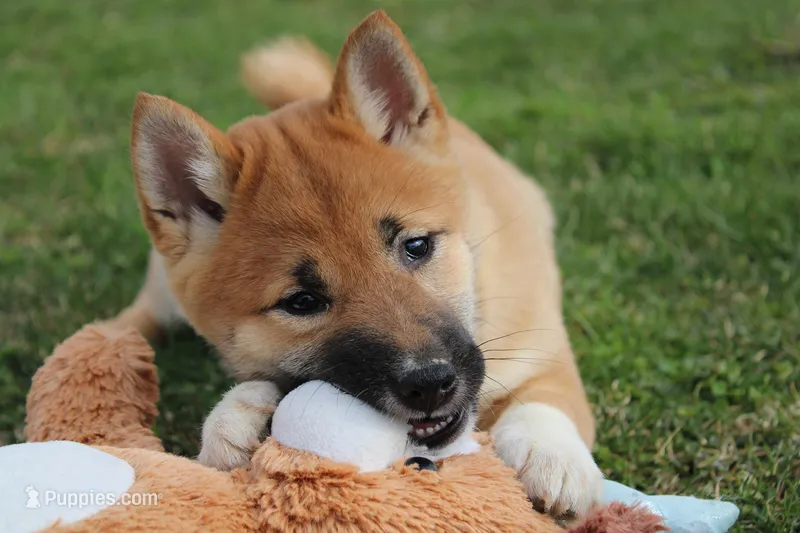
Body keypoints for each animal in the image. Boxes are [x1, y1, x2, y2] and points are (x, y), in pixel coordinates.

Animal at [109, 10, 603, 518]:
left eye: (416, 246)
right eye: (302, 302)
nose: (430, 384)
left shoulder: (541, 344)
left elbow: (545, 401)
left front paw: (551, 456)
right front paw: (234, 419)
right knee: (134, 318)